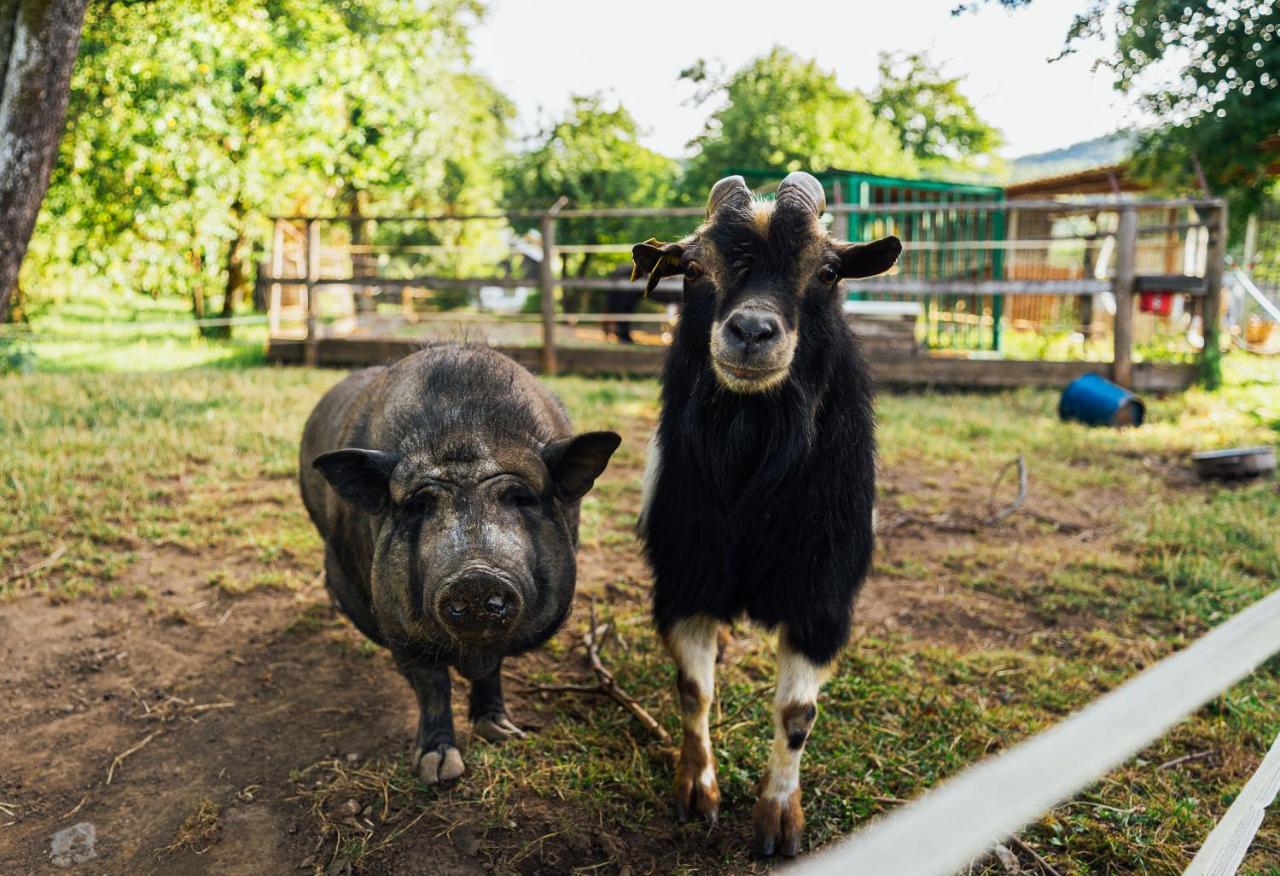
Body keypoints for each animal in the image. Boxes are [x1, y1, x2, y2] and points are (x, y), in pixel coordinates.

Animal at [299, 345, 619, 783]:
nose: (476, 576)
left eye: (521, 498)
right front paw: (438, 771)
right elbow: (432, 684)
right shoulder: (397, 626)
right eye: (420, 504)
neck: (464, 424)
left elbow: (493, 668)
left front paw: (504, 733)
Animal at [632, 174, 901, 860]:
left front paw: (779, 819)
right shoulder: (686, 577)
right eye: (693, 268)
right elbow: (694, 689)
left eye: (828, 272)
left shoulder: (821, 595)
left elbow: (797, 715)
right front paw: (697, 789)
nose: (752, 331)